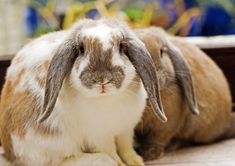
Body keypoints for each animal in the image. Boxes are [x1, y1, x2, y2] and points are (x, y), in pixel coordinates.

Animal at [0, 18, 168, 166]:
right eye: (81, 49)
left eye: (121, 47)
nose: (102, 79)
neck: (107, 99)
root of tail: (9, 151)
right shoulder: (99, 137)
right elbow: (111, 151)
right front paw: (119, 163)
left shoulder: (125, 129)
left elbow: (125, 147)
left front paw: (135, 161)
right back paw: (101, 160)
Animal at [134, 27, 235, 161]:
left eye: (161, 52)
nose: (155, 77)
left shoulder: (167, 123)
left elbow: (158, 137)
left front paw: (150, 154)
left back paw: (173, 146)